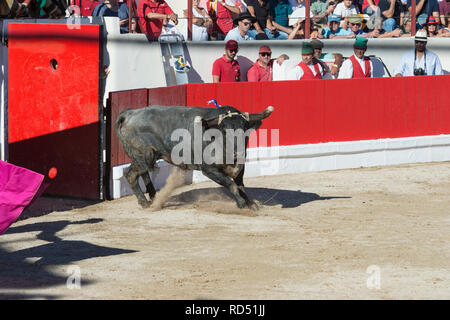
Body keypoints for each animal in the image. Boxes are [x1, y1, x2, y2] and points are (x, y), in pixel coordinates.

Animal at [114, 105, 274, 210]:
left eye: (245, 129)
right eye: (224, 130)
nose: (238, 153)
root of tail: (130, 113)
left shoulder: (240, 167)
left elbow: (241, 185)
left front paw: (251, 203)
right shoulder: (209, 170)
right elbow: (231, 184)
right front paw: (241, 204)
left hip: (143, 157)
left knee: (143, 173)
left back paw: (154, 198)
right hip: (141, 155)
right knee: (130, 174)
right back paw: (145, 203)